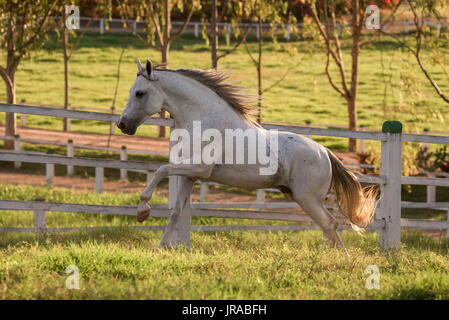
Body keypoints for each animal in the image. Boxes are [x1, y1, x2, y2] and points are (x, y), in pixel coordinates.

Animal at [117, 60, 376, 250]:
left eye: (140, 93)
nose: (122, 124)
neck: (202, 119)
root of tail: (327, 154)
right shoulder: (189, 175)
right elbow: (176, 212)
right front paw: (162, 248)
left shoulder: (199, 168)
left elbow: (161, 170)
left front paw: (142, 212)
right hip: (302, 197)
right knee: (328, 226)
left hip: (308, 198)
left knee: (330, 224)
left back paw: (340, 258)